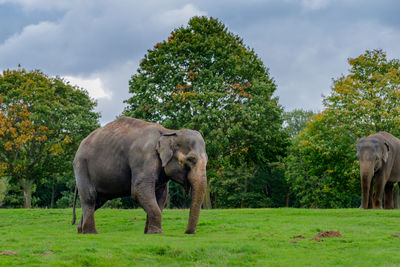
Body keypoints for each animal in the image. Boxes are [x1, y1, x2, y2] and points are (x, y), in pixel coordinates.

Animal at [71, 117, 208, 234]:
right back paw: (91, 233)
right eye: (191, 159)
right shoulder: (144, 158)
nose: (189, 232)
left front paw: (149, 233)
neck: (168, 132)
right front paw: (157, 233)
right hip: (82, 167)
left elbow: (161, 196)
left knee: (98, 201)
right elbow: (139, 191)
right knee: (90, 197)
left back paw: (80, 231)